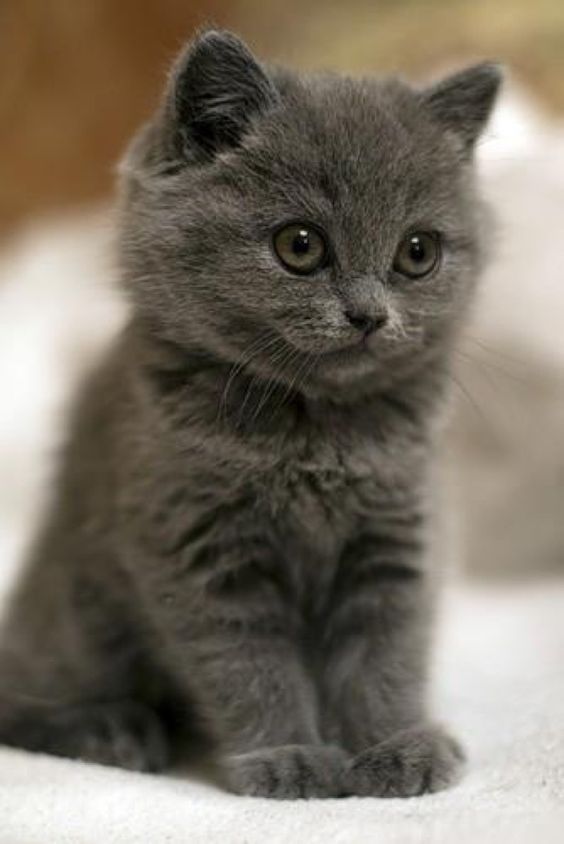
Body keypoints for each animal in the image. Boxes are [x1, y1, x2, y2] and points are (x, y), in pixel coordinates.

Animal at [0, 29, 500, 796]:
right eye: (300, 245)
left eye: (418, 252)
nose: (368, 315)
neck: (317, 430)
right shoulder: (202, 548)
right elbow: (248, 665)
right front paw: (287, 757)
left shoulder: (395, 536)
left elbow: (387, 651)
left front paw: (397, 746)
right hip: (78, 613)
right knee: (19, 697)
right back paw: (110, 729)